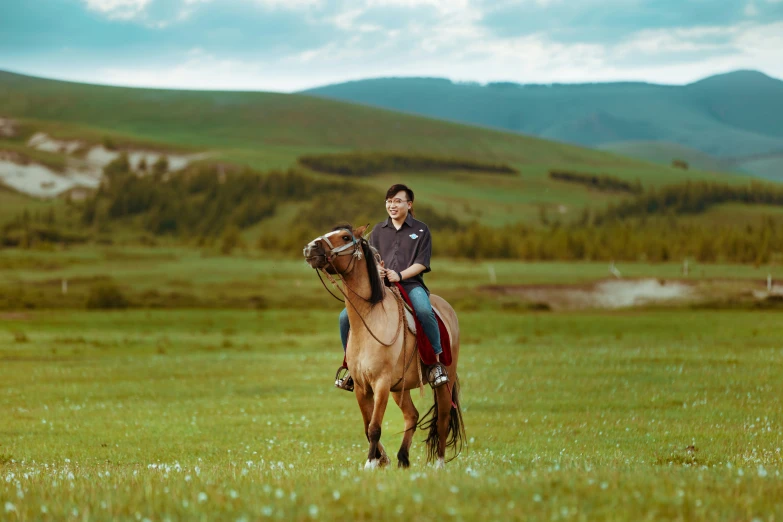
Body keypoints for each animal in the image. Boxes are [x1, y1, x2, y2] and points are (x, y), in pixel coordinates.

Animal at [304, 223, 466, 468]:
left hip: (442, 382)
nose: (310, 248)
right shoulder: (361, 387)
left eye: (345, 237)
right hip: (400, 388)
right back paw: (403, 459)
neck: (371, 318)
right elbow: (366, 426)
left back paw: (438, 464)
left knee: (443, 419)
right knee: (412, 415)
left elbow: (374, 427)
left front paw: (371, 463)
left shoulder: (381, 384)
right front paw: (383, 460)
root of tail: (447, 309)